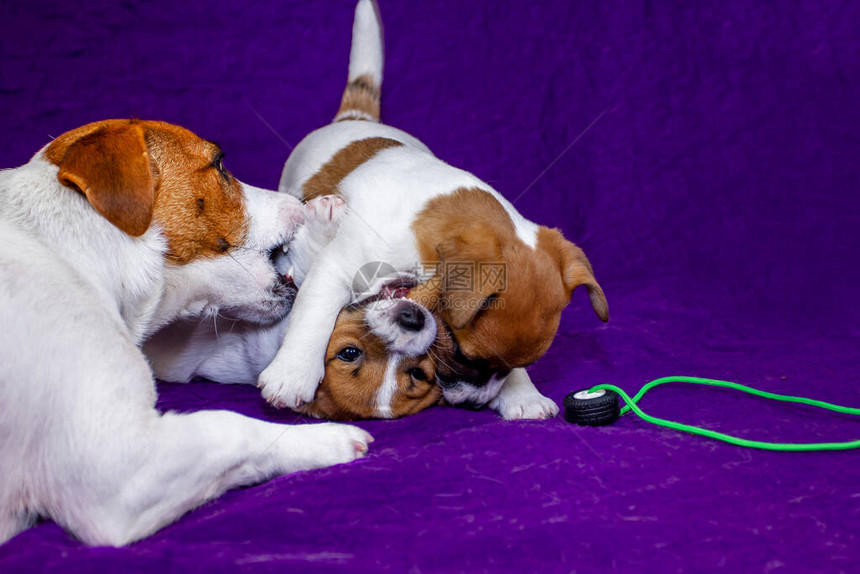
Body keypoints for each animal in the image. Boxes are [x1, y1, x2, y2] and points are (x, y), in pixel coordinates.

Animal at [0, 119, 372, 548]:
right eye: (220, 164)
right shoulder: (119, 473)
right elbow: (232, 428)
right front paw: (329, 440)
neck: (74, 250)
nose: (302, 198)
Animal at [258, 1, 608, 424]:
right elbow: (315, 313)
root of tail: (355, 119)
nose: (476, 403)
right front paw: (293, 373)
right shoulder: (337, 267)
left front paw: (522, 391)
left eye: (509, 368)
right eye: (464, 354)